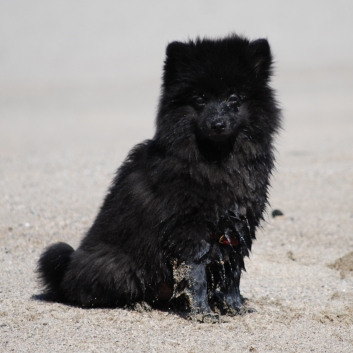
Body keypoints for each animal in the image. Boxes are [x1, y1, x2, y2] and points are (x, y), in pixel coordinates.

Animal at [37, 34, 280, 320]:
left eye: (234, 98)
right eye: (199, 99)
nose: (217, 124)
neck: (218, 158)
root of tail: (66, 275)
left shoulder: (238, 227)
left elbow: (232, 273)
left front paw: (235, 307)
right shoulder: (190, 231)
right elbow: (196, 275)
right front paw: (202, 313)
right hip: (122, 268)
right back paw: (137, 304)